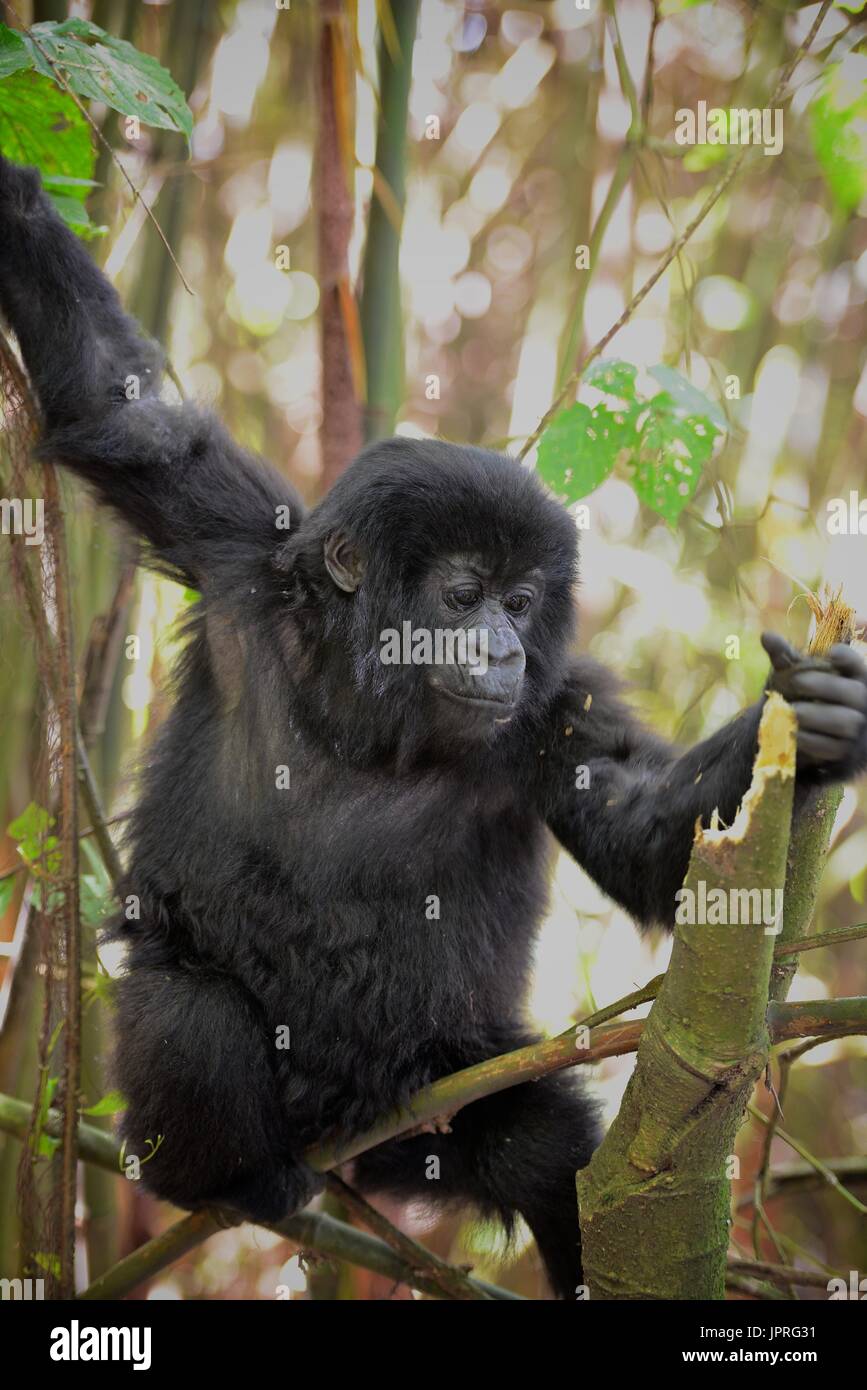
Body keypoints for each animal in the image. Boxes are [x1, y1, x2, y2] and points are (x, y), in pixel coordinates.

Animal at [1, 157, 867, 1295]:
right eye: (464, 594)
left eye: (521, 598)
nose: (501, 647)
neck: (364, 707)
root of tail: (356, 1139)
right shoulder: (235, 545)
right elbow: (120, 410)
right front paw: (13, 197)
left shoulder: (551, 707)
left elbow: (638, 831)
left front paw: (813, 723)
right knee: (188, 1017)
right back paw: (233, 1183)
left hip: (440, 1090)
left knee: (538, 1145)